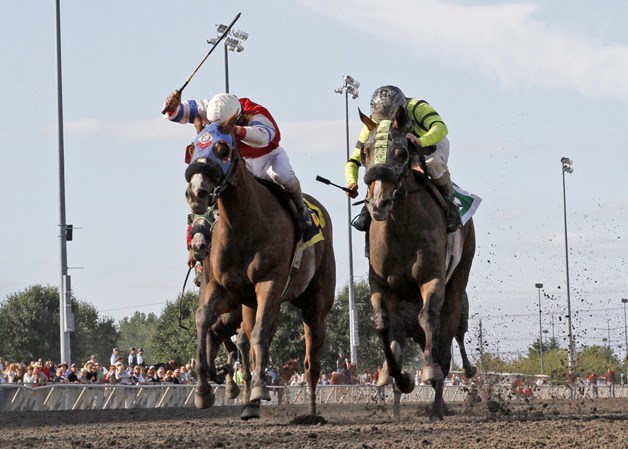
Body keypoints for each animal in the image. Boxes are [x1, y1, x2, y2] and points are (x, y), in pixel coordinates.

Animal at [184, 120, 336, 416]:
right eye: (193, 147)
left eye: (222, 148)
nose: (197, 193)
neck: (245, 225)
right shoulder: (225, 289)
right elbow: (205, 319)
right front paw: (204, 388)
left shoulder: (269, 283)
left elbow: (259, 333)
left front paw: (255, 388)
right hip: (250, 304)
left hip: (316, 303)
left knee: (311, 361)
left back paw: (311, 412)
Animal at [358, 106, 476, 420]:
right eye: (364, 152)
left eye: (401, 153)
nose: (378, 204)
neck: (401, 229)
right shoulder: (380, 284)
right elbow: (383, 325)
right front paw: (396, 377)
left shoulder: (431, 278)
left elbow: (428, 320)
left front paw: (429, 371)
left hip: (459, 280)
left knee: (448, 334)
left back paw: (438, 404)